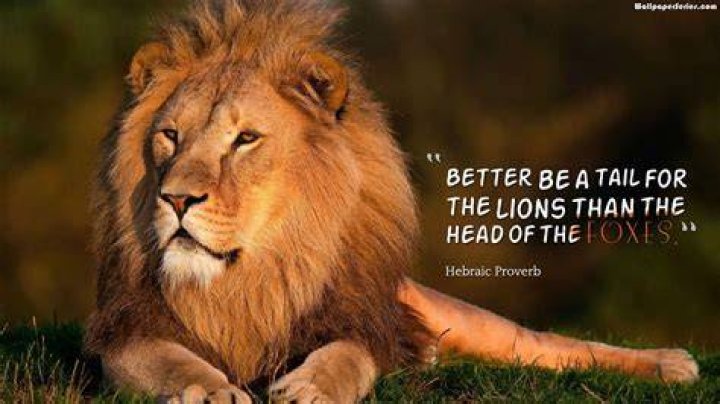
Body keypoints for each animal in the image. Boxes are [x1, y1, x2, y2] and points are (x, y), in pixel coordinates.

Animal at [84, 0, 699, 402]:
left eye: (245, 139)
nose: (175, 199)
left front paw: (310, 388)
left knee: (544, 344)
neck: (250, 279)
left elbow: (346, 357)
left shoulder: (360, 321)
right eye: (170, 136)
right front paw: (212, 391)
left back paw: (673, 363)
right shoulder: (125, 332)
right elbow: (169, 362)